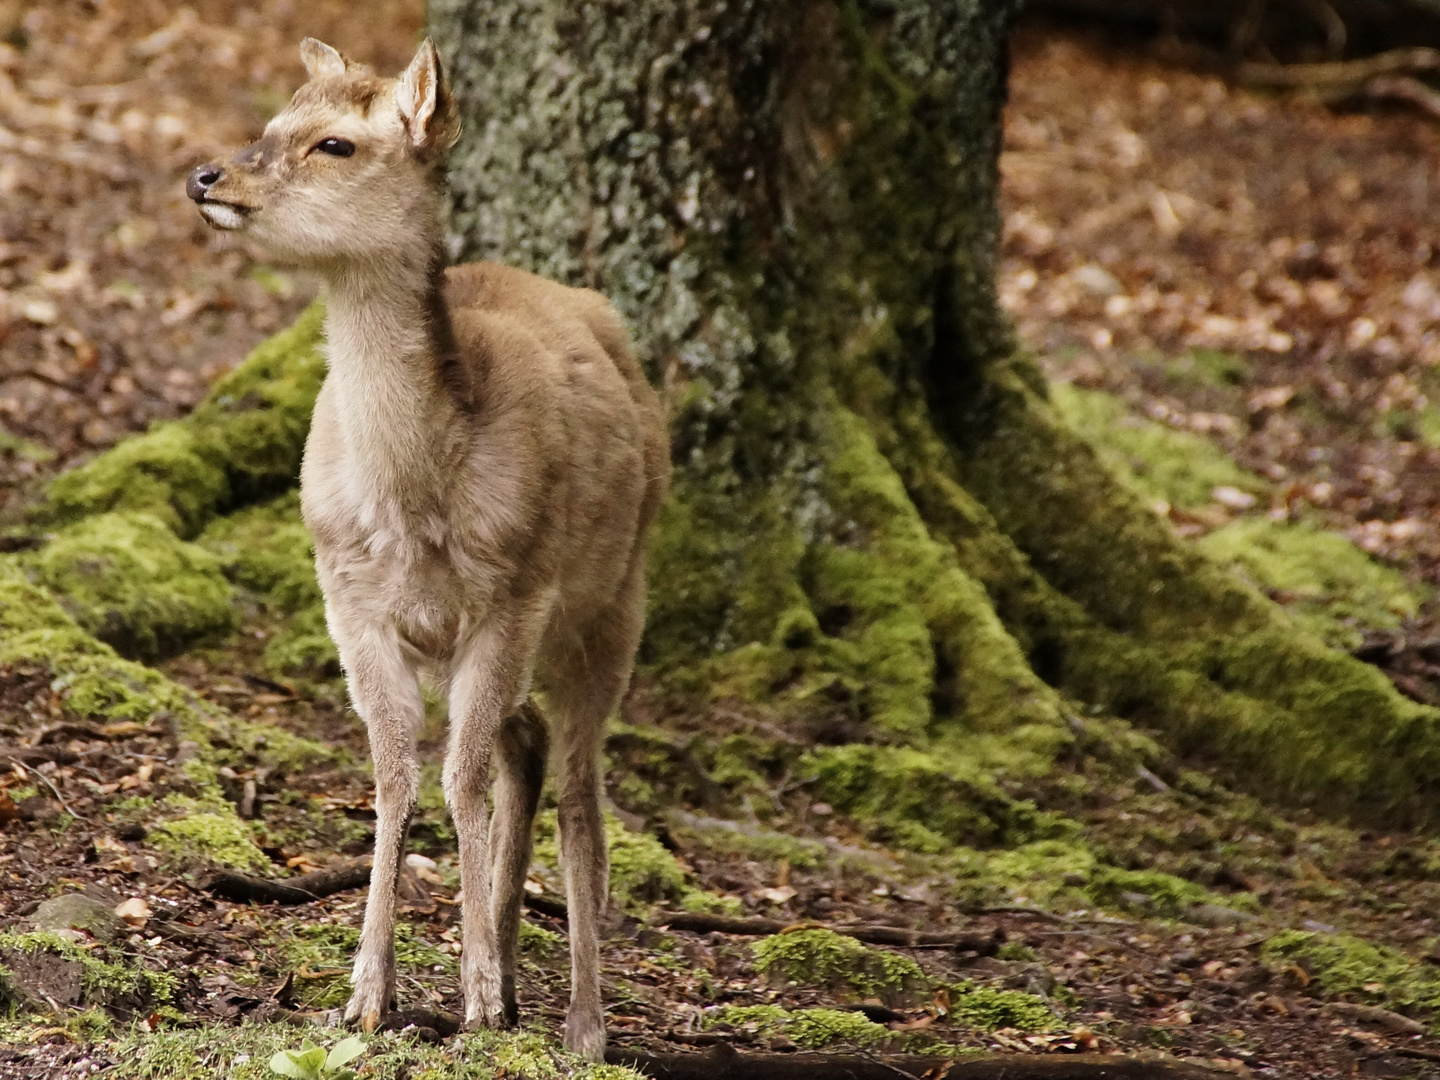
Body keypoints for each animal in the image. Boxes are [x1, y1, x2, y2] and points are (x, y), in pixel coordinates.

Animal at [184, 38, 668, 1059]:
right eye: (274, 120)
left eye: (334, 143)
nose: (207, 175)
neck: (417, 502)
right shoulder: (349, 599)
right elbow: (395, 774)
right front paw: (369, 994)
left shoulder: (514, 594)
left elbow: (458, 776)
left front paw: (474, 996)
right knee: (527, 745)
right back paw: (519, 984)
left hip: (613, 602)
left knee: (580, 787)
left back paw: (581, 1021)